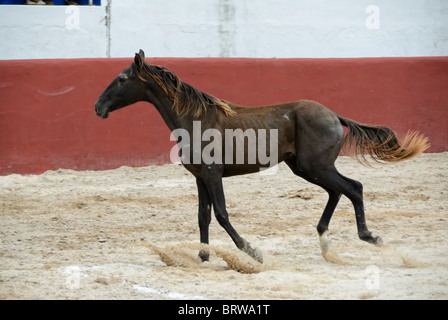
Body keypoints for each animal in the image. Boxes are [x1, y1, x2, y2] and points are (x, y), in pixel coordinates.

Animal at [93, 50, 428, 264]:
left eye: (122, 78)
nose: (98, 107)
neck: (195, 119)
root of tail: (334, 116)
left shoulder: (212, 173)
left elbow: (221, 214)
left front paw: (251, 251)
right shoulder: (200, 177)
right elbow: (203, 216)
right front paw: (203, 255)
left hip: (316, 166)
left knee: (353, 188)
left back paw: (369, 236)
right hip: (305, 168)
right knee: (337, 192)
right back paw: (325, 243)